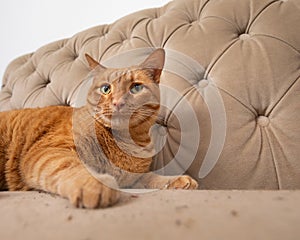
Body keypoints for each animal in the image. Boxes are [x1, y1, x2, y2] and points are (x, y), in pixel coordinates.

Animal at [0, 49, 198, 208]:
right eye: (105, 89)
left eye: (136, 88)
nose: (118, 102)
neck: (126, 143)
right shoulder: (49, 150)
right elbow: (71, 166)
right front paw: (94, 184)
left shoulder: (133, 179)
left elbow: (151, 177)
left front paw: (176, 180)